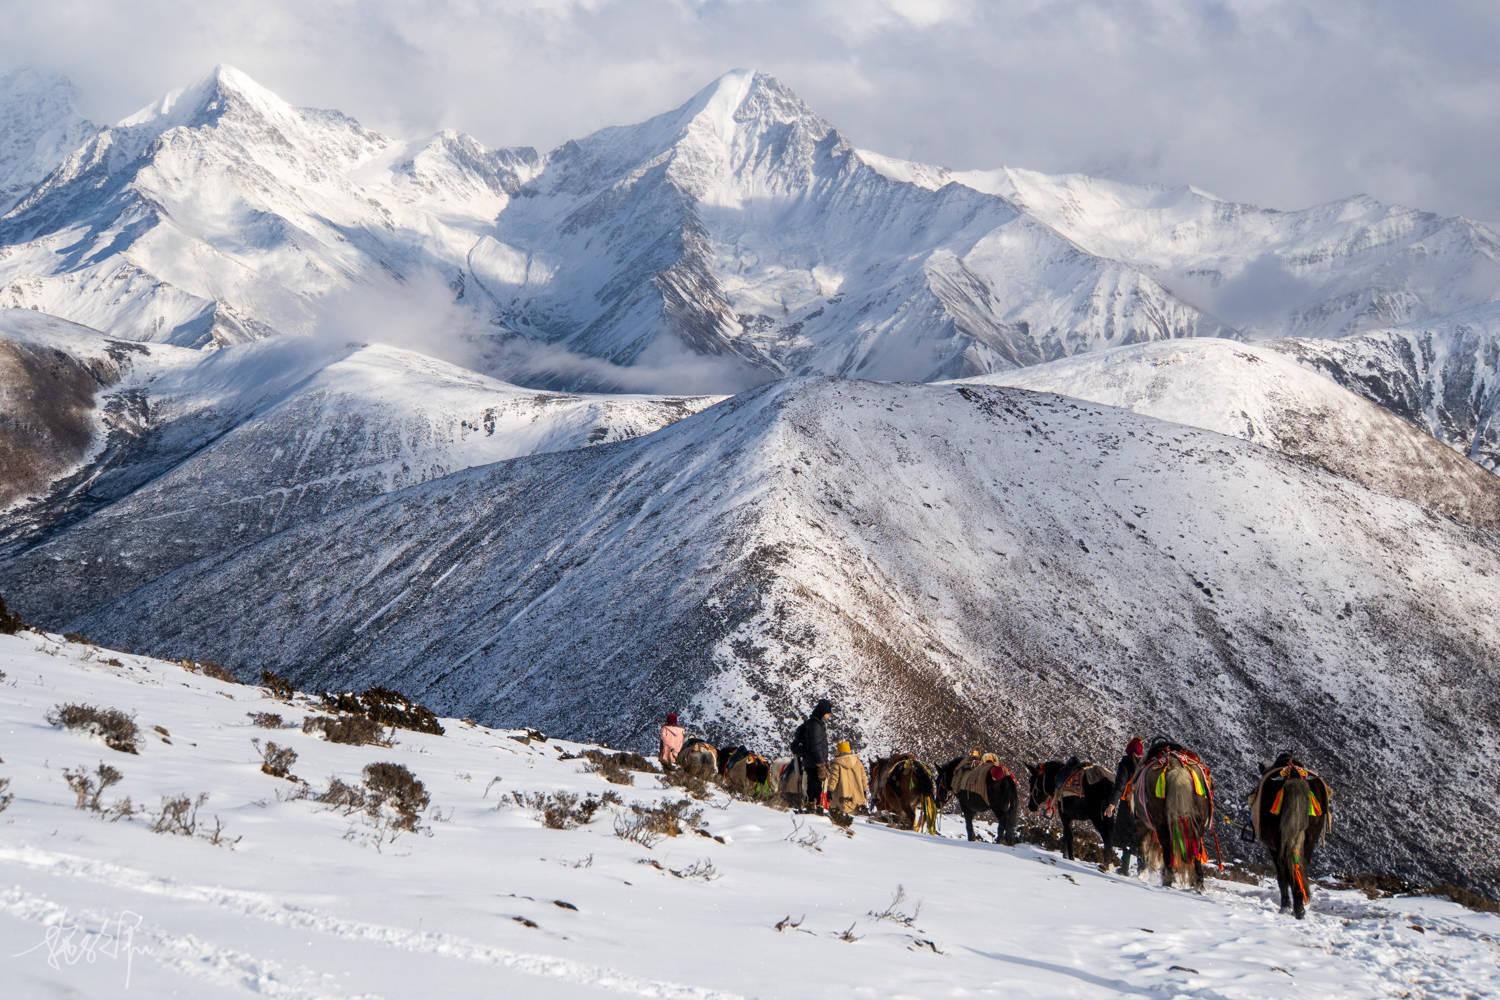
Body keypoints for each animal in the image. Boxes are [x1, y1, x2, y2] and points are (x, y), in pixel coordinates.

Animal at [1134, 746, 1218, 887]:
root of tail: (1176, 770)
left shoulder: (1142, 823)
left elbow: (1143, 846)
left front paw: (1142, 870)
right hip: (1197, 820)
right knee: (1196, 845)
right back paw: (1198, 882)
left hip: (1160, 821)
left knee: (1166, 845)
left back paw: (1167, 879)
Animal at [1248, 755, 1332, 917]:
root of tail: (1294, 776)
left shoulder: (1273, 847)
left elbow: (1281, 877)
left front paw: (1285, 906)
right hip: (1310, 839)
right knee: (1300, 865)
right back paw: (1300, 907)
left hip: (1279, 841)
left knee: (1288, 869)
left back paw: (1295, 908)